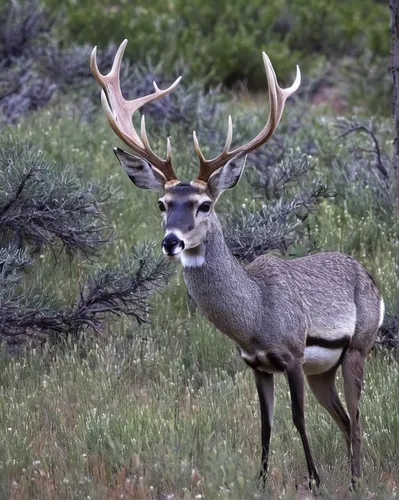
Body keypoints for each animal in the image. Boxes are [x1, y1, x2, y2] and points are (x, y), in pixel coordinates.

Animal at [90, 39, 384, 488]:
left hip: (358, 347)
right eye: (162, 203)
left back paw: (355, 482)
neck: (255, 317)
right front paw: (260, 482)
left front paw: (314, 481)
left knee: (357, 420)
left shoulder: (292, 353)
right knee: (345, 421)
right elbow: (265, 425)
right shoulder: (256, 365)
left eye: (204, 204)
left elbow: (297, 420)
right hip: (323, 370)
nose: (171, 242)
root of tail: (371, 279)